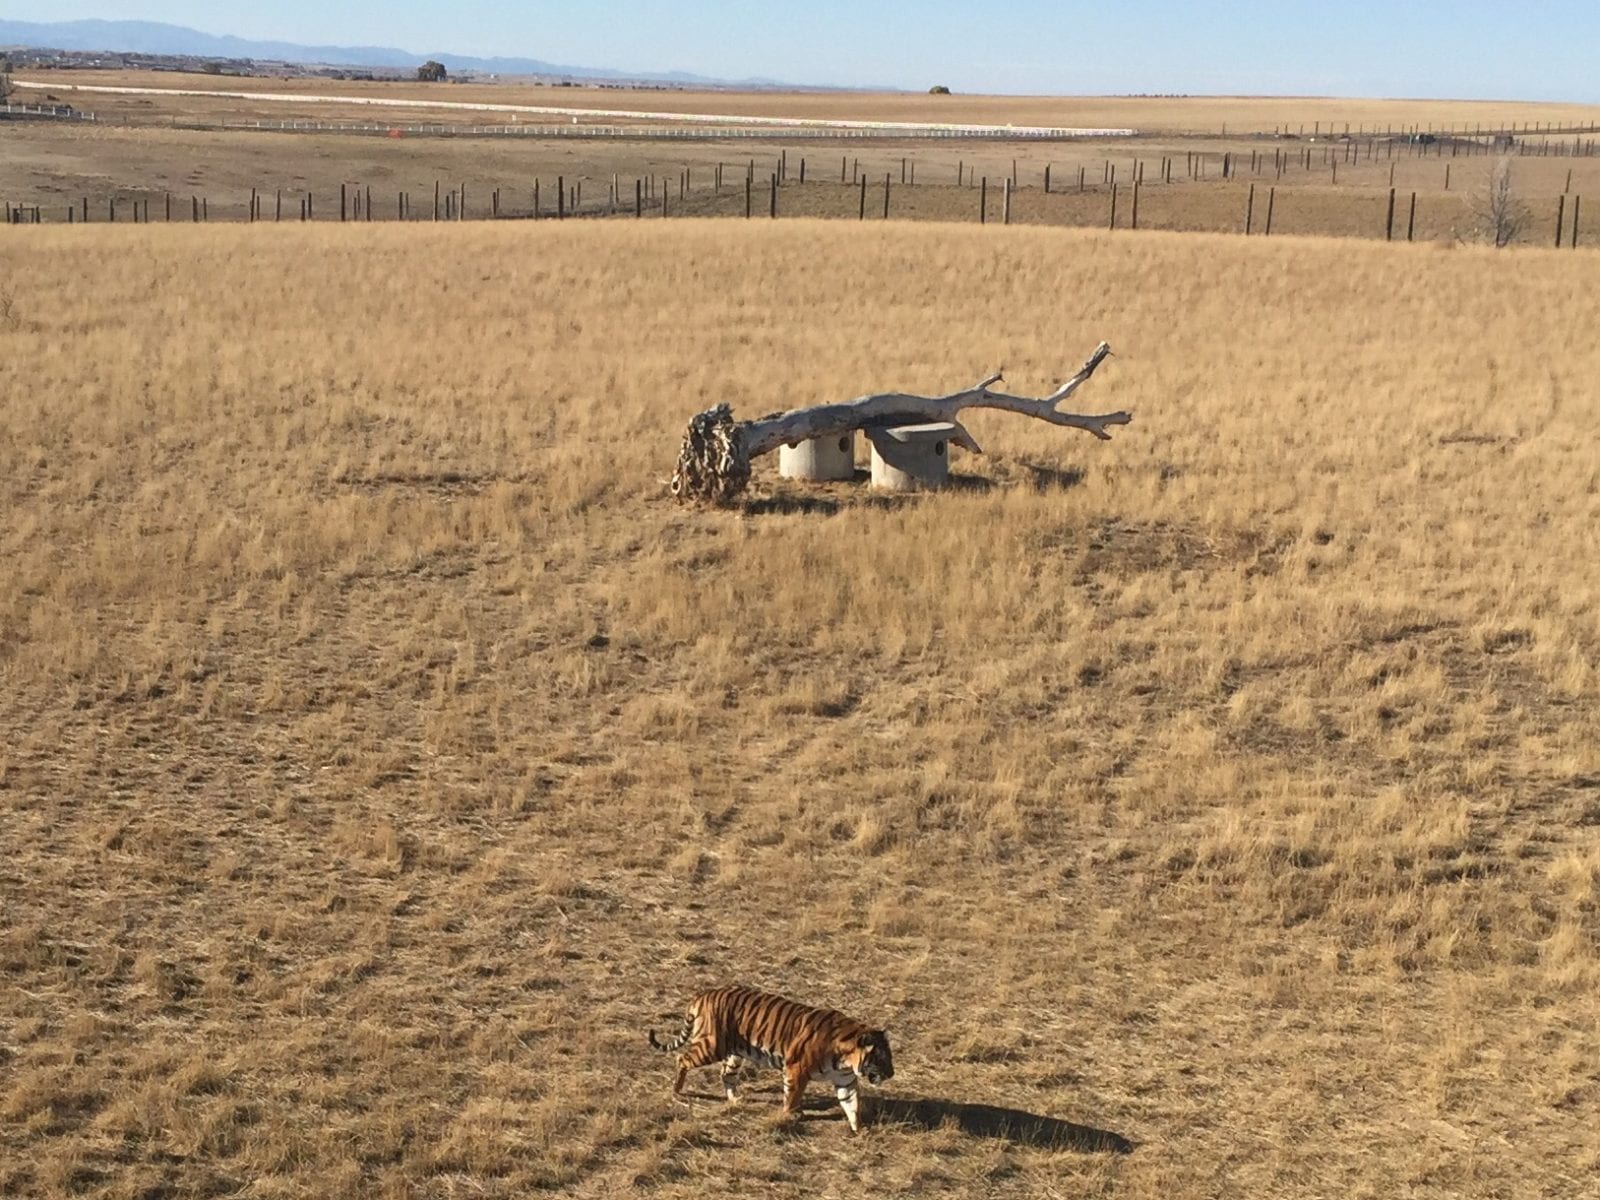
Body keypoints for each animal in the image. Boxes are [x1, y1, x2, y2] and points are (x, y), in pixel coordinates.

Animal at [646, 985, 896, 1139]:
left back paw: (735, 1099)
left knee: (726, 1075)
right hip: (711, 1047)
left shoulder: (845, 1080)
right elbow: (792, 1096)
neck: (846, 1059)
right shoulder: (797, 1069)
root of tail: (704, 993)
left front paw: (859, 1129)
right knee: (682, 1058)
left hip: (734, 1053)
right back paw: (677, 1091)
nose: (892, 1074)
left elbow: (851, 1105)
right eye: (881, 1058)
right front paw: (790, 1116)